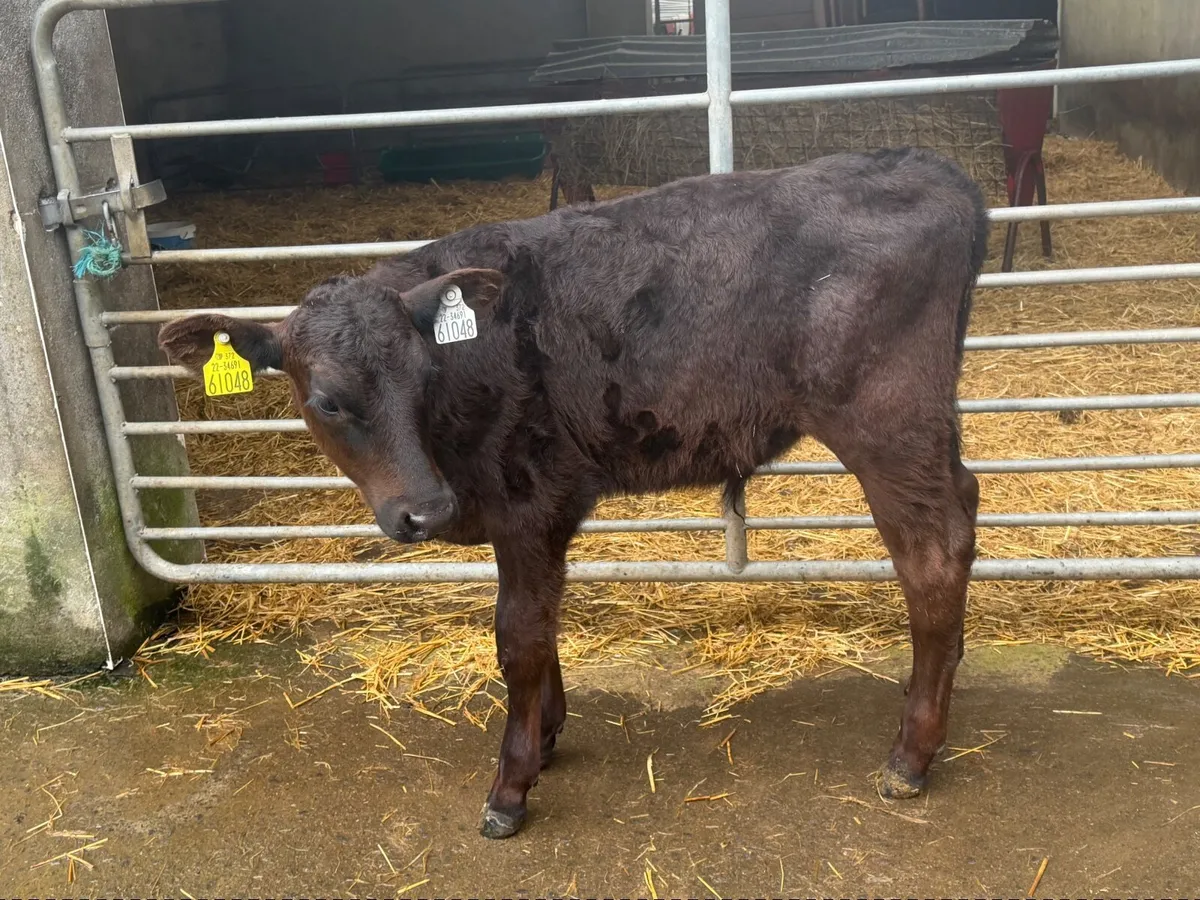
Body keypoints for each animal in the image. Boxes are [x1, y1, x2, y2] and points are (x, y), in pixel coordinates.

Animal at [159, 147, 989, 840]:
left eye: (424, 375)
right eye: (328, 400)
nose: (426, 509)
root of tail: (926, 166)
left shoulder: (530, 502)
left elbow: (519, 638)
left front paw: (511, 784)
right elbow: (545, 623)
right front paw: (548, 735)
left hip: (887, 423)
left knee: (932, 558)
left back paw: (910, 756)